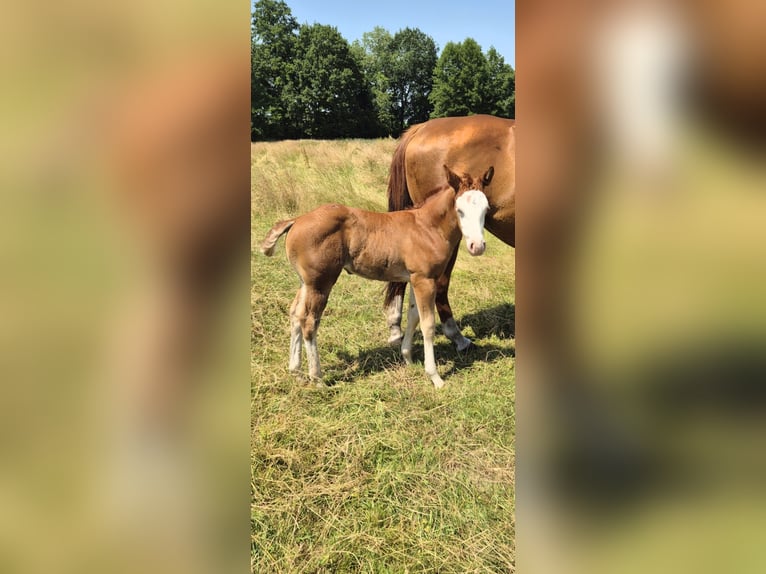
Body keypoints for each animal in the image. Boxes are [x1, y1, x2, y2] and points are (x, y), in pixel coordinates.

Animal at [260, 165, 494, 388]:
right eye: (459, 210)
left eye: (486, 209)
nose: (477, 246)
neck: (427, 227)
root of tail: (297, 219)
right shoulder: (425, 280)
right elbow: (427, 324)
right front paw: (435, 377)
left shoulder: (413, 278)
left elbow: (413, 316)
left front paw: (408, 359)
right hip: (320, 283)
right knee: (309, 321)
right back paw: (317, 378)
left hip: (306, 283)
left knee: (295, 314)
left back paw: (297, 373)